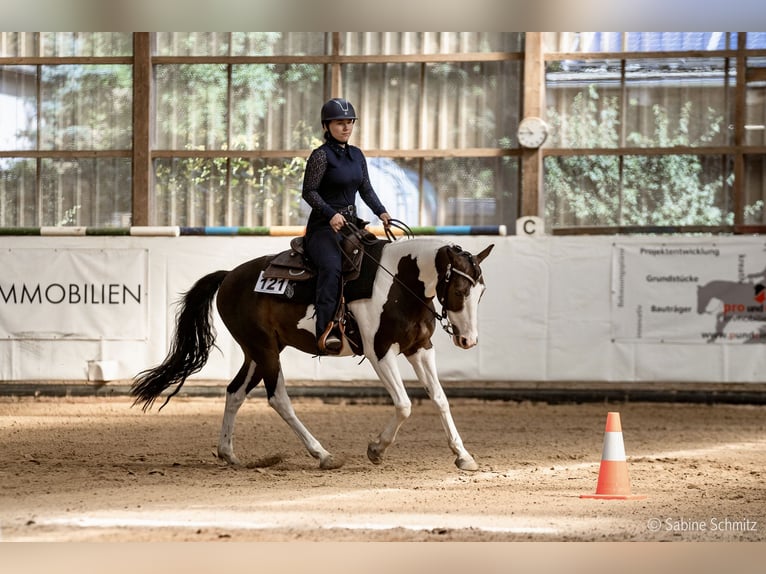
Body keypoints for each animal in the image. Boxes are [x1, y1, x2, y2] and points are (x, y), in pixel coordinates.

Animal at [129, 233, 496, 472]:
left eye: (481, 292)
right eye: (460, 289)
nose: (469, 340)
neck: (399, 284)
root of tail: (229, 276)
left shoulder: (420, 349)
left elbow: (440, 399)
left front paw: (463, 455)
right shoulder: (379, 353)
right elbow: (405, 404)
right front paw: (375, 450)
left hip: (257, 351)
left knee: (235, 392)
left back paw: (228, 453)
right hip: (265, 349)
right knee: (278, 399)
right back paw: (322, 455)